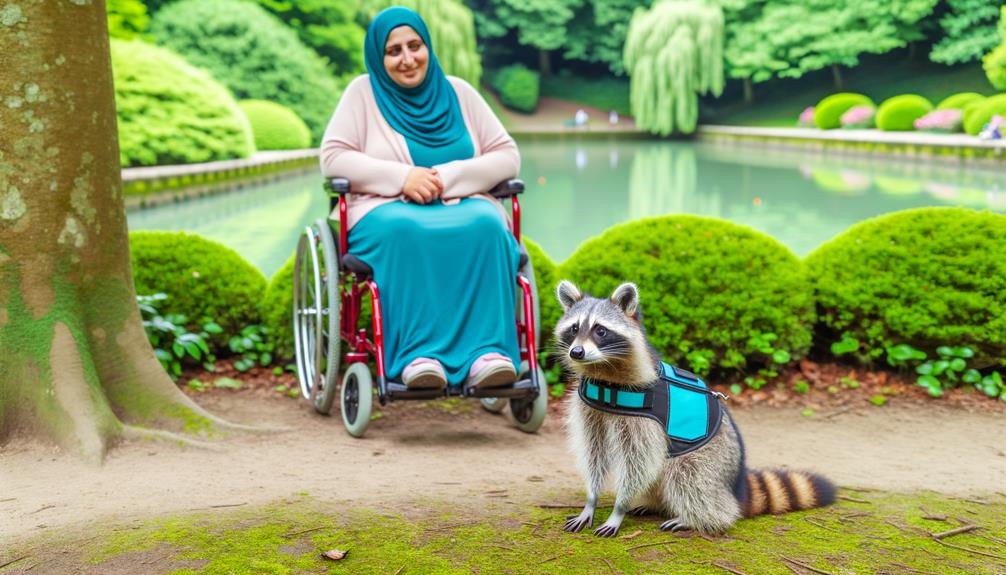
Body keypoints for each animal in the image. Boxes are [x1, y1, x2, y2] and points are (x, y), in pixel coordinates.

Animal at [555, 281, 836, 538]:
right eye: (575, 328)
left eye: (601, 330)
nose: (577, 352)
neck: (603, 372)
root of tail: (735, 486)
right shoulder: (590, 412)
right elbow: (594, 452)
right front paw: (591, 501)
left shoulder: (645, 420)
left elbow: (639, 462)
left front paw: (618, 508)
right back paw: (656, 504)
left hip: (712, 458)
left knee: (687, 476)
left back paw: (697, 517)